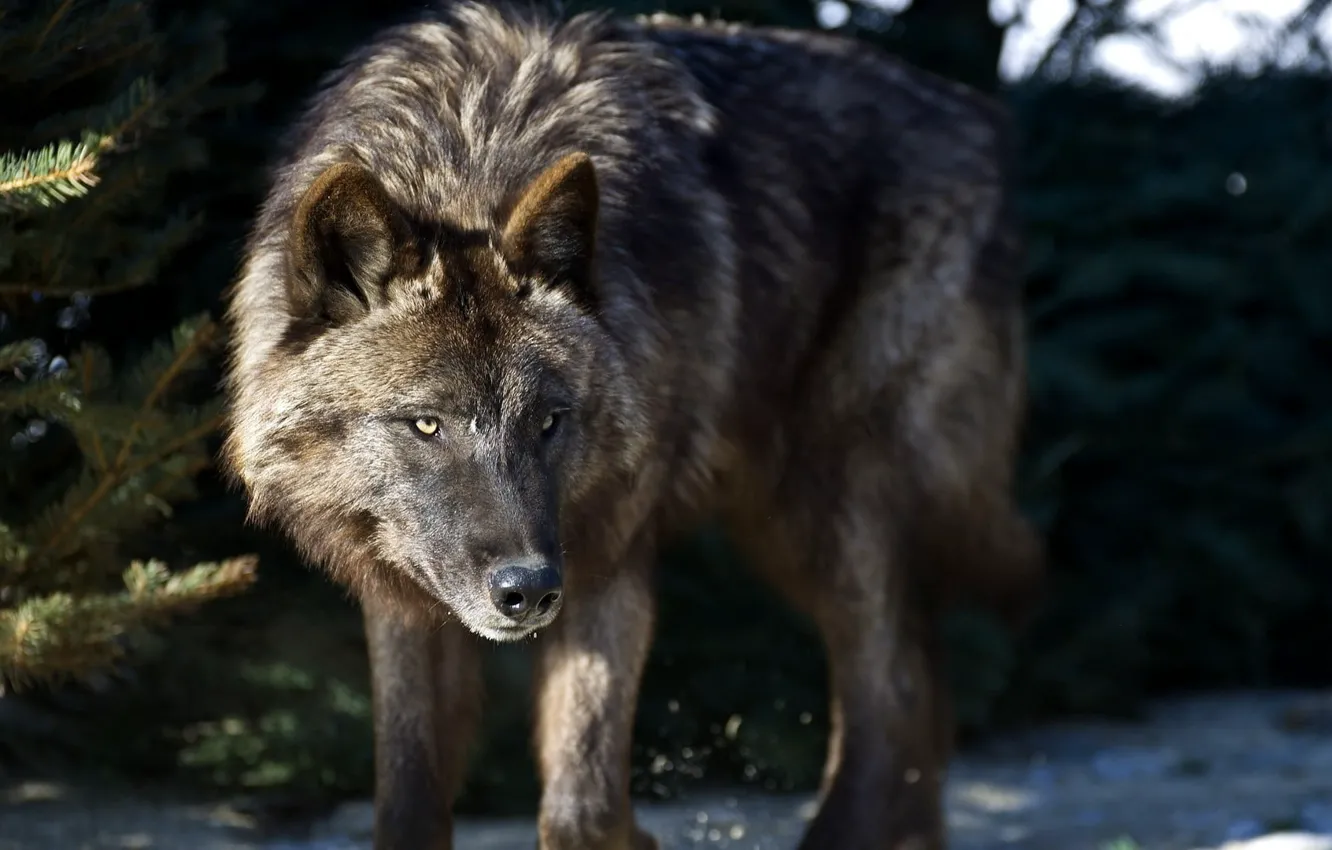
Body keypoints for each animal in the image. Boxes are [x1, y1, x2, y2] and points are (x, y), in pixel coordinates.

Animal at [220, 2, 1044, 848]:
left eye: (549, 421)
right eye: (426, 424)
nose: (527, 591)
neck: (470, 159)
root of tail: (982, 116)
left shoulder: (607, 559)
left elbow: (581, 804)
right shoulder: (407, 599)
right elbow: (409, 800)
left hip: (839, 505)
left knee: (893, 682)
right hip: (786, 526)